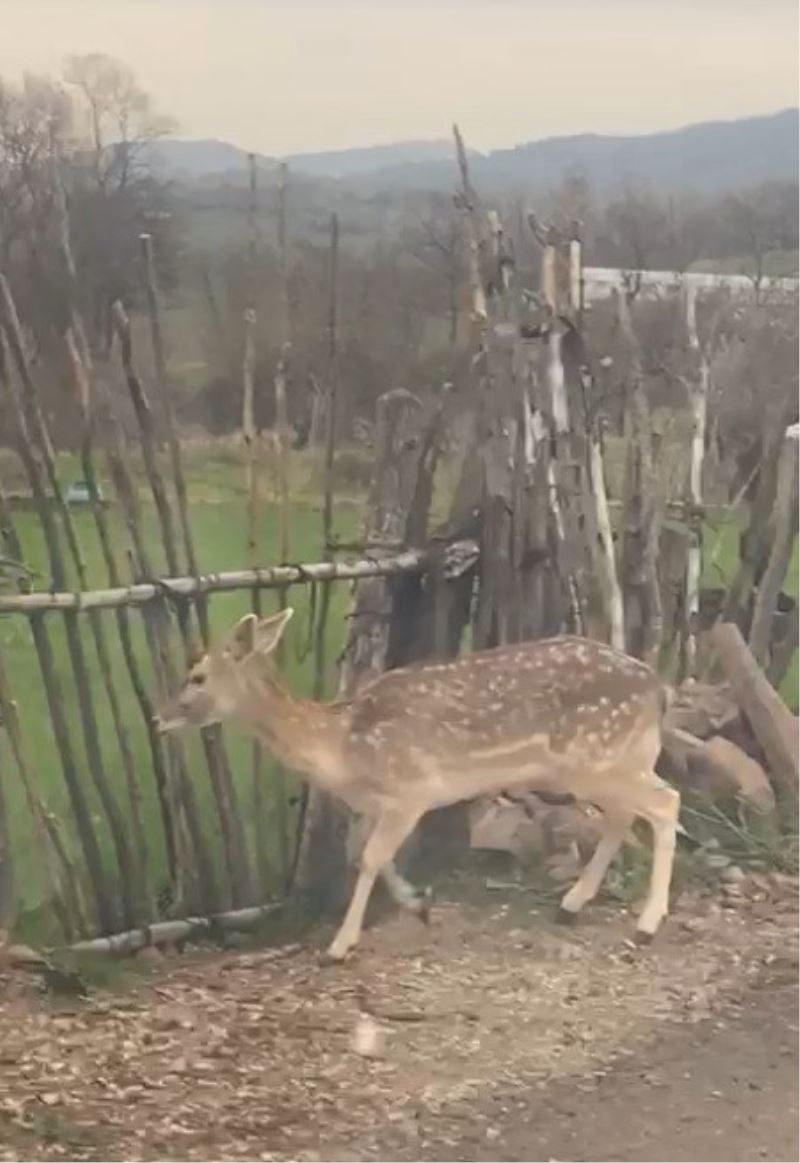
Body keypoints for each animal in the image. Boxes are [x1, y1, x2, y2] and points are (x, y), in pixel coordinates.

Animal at [155, 609, 679, 962]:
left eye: (197, 675)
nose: (158, 717)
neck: (342, 748)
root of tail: (657, 687)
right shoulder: (375, 803)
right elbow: (361, 853)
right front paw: (416, 904)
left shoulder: (413, 789)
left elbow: (370, 857)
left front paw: (340, 945)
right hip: (607, 762)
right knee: (625, 815)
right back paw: (572, 904)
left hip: (599, 757)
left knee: (665, 802)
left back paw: (646, 924)